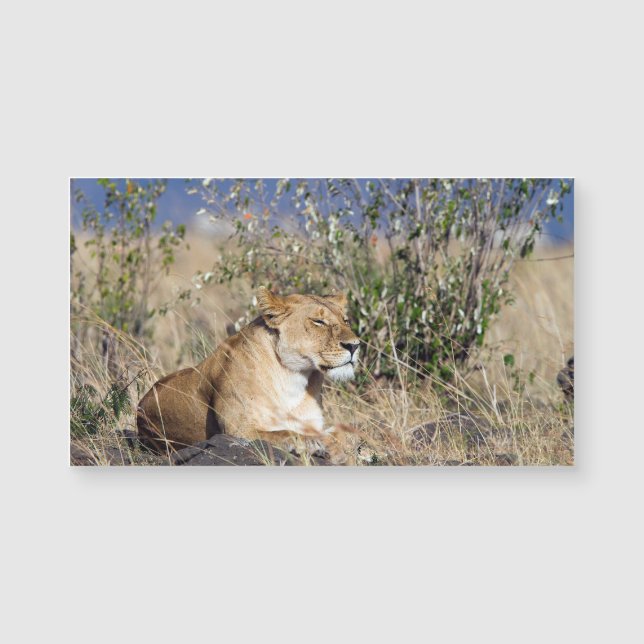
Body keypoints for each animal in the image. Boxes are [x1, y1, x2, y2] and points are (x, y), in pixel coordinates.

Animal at [136, 286, 360, 457]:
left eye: (346, 320)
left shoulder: (313, 423)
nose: (354, 346)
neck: (293, 378)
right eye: (318, 322)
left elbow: (347, 433)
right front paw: (311, 443)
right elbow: (285, 433)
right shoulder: (237, 431)